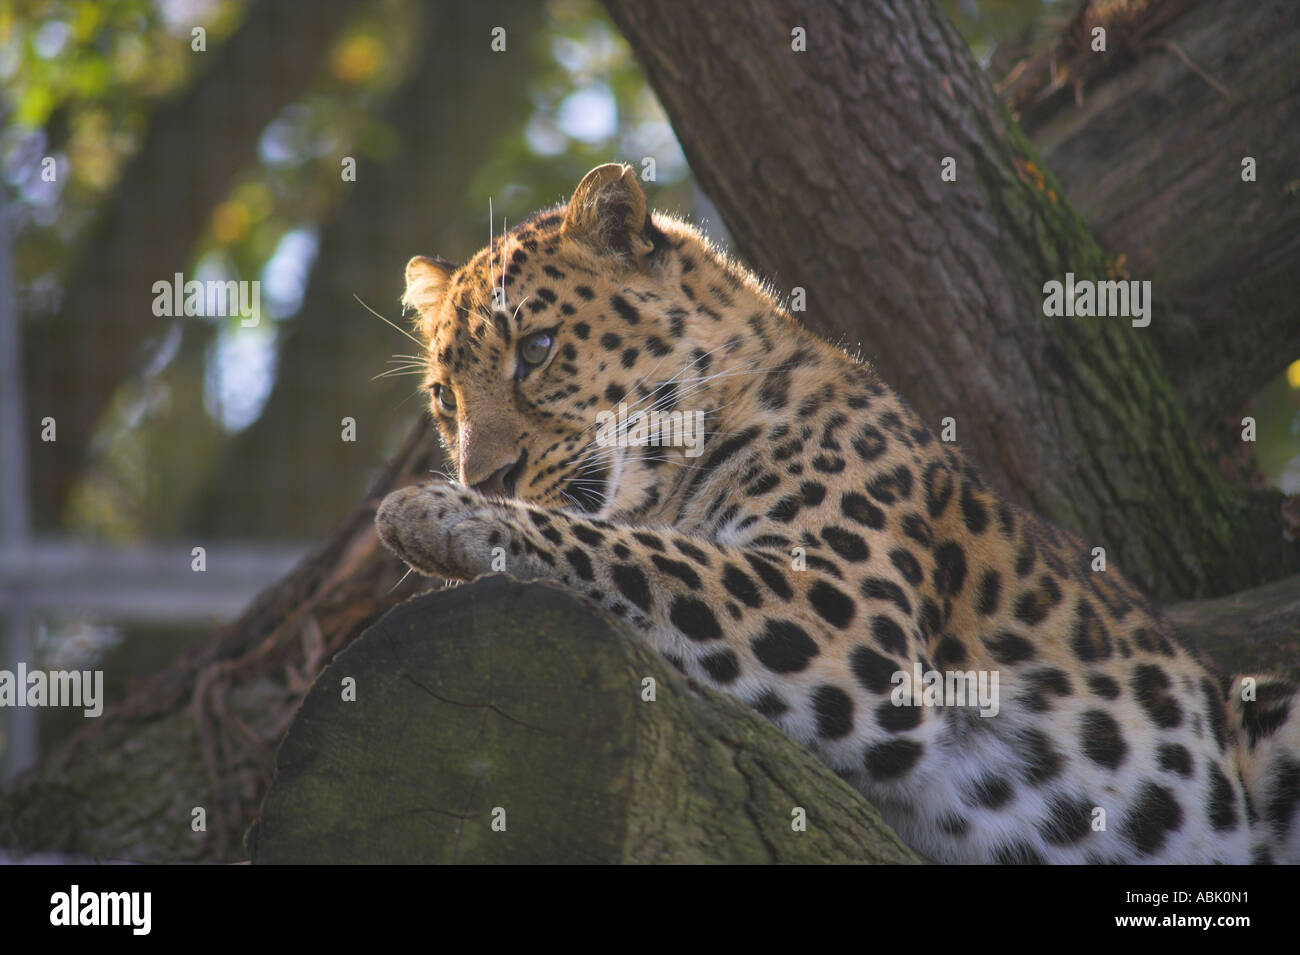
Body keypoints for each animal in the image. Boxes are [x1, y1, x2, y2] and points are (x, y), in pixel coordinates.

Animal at [376, 163, 1300, 864]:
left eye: (537, 351)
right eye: (445, 398)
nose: (485, 473)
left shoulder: (841, 609)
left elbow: (627, 547)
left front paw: (431, 512)